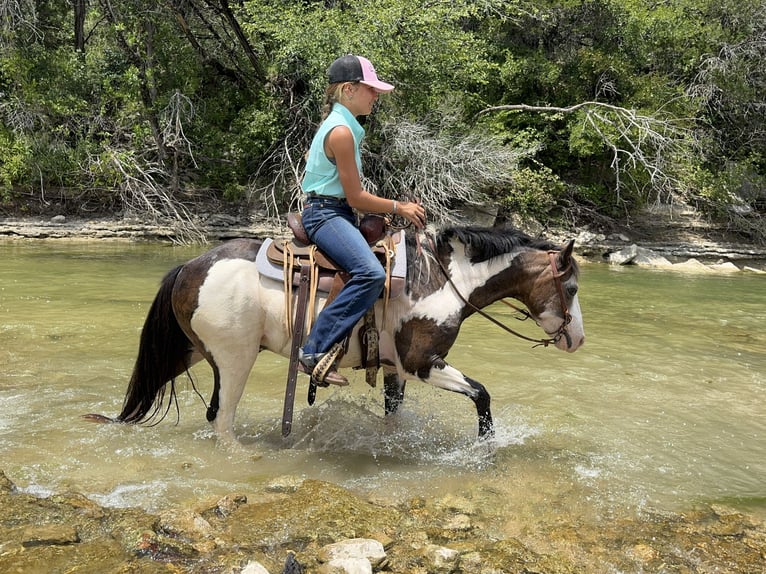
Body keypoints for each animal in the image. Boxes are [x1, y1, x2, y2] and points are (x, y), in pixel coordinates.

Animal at [91, 225, 584, 444]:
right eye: (573, 288)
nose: (576, 340)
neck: (442, 280)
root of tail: (190, 266)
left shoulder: (396, 369)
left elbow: (393, 414)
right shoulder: (423, 364)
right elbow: (481, 393)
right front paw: (485, 445)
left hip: (190, 351)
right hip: (235, 361)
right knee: (223, 421)